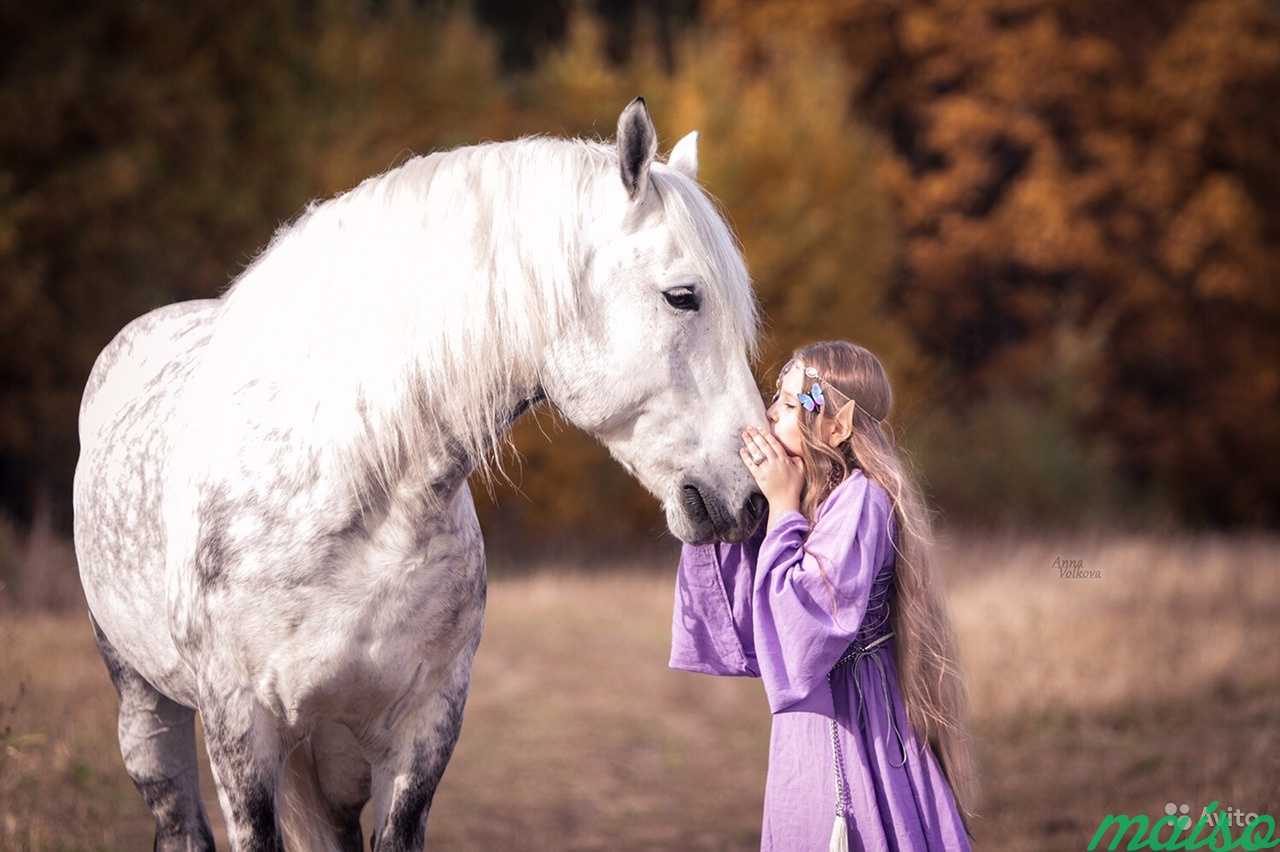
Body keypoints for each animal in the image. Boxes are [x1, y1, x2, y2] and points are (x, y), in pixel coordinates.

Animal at [70, 97, 762, 844]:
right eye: (683, 296)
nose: (751, 501)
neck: (347, 500)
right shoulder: (239, 731)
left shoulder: (426, 727)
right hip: (148, 708)